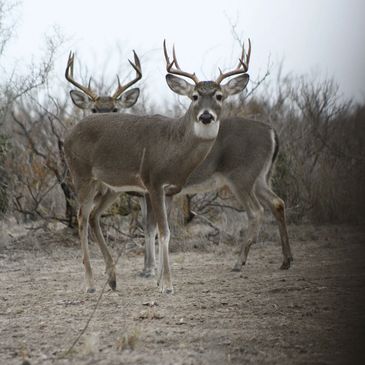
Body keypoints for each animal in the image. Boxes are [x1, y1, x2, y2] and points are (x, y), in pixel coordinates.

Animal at [62, 40, 250, 292]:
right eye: (194, 96)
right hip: (81, 175)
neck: (173, 147)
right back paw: (90, 283)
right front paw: (167, 284)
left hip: (111, 186)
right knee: (82, 218)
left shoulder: (171, 190)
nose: (206, 116)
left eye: (219, 96)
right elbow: (164, 231)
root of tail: (69, 133)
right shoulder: (153, 182)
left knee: (93, 216)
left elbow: (163, 232)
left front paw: (160, 279)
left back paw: (112, 278)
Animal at [140, 40, 292, 278]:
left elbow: (152, 228)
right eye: (194, 96)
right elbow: (155, 227)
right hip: (261, 176)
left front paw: (150, 270)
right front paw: (151, 268)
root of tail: (271, 132)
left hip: (241, 176)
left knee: (256, 211)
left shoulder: (154, 187)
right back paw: (286, 260)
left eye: (219, 96)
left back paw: (239, 262)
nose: (205, 116)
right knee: (277, 202)